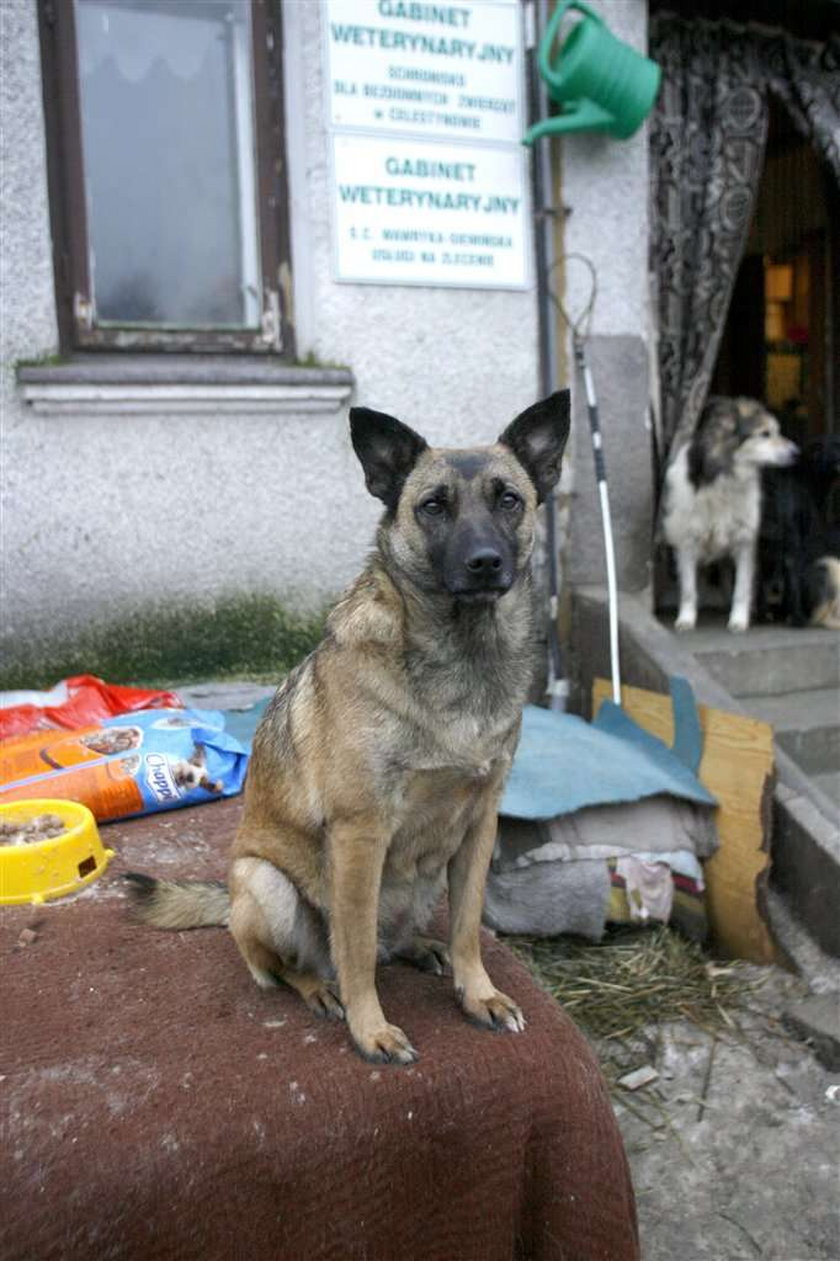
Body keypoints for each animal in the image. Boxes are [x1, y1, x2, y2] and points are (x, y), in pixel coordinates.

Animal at [124, 388, 570, 1059]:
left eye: (509, 499)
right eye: (433, 506)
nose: (485, 563)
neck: (460, 654)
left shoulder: (479, 823)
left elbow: (467, 928)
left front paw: (477, 994)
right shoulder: (361, 834)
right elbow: (354, 949)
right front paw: (371, 1029)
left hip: (424, 878)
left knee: (392, 941)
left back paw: (421, 948)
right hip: (266, 884)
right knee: (294, 964)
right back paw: (321, 990)